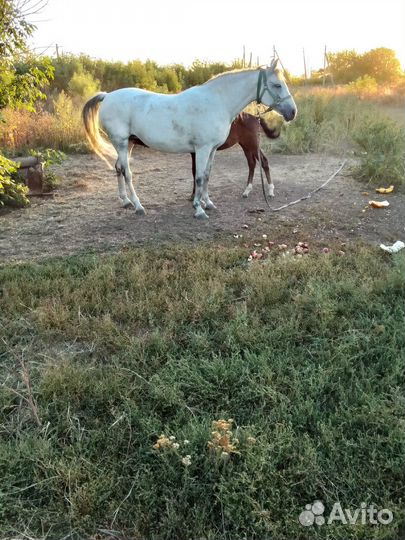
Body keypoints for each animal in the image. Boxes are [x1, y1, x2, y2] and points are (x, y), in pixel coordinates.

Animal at [83, 59, 296, 219]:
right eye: (277, 85)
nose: (292, 112)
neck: (217, 102)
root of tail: (108, 95)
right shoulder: (202, 149)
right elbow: (199, 176)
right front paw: (198, 209)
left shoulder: (211, 149)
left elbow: (207, 175)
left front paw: (208, 203)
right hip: (120, 142)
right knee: (127, 172)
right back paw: (138, 206)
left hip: (127, 144)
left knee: (118, 168)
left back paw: (125, 201)